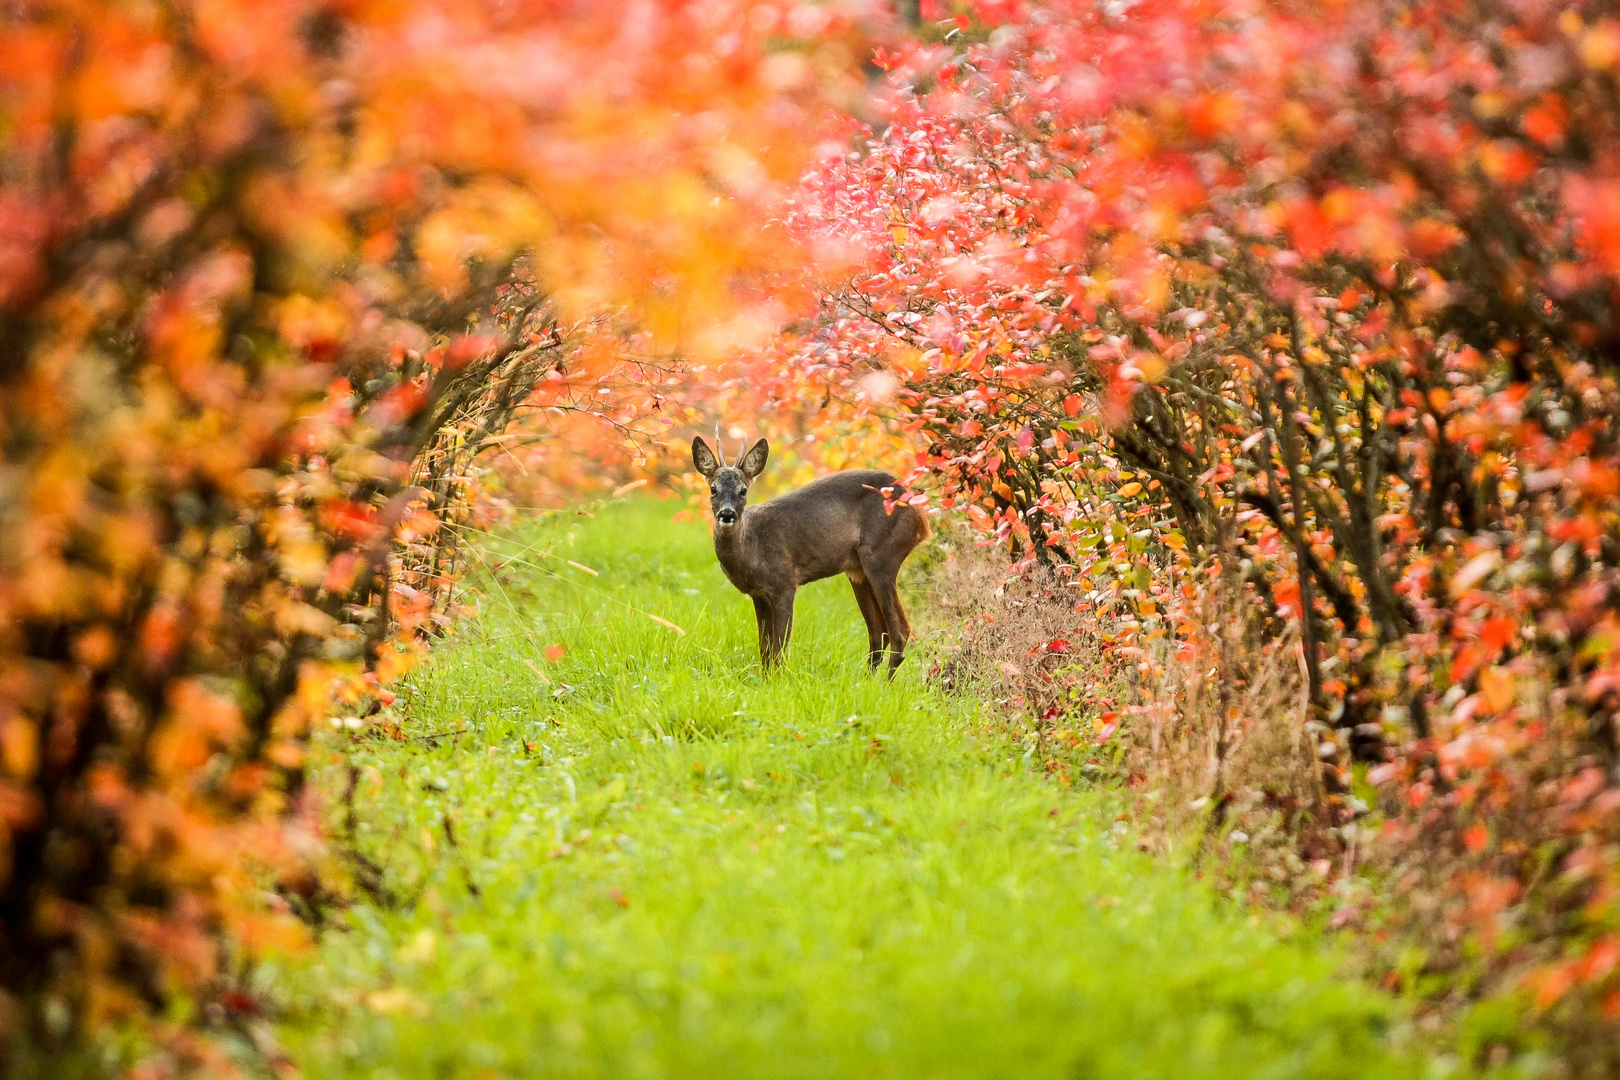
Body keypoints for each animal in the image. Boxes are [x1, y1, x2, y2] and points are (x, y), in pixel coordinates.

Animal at [690, 433, 933, 670]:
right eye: (713, 489)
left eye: (743, 490)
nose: (727, 514)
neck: (751, 546)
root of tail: (921, 517)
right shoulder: (758, 594)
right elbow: (765, 650)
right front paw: (766, 679)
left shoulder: (784, 583)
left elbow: (779, 649)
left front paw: (778, 679)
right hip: (858, 571)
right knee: (879, 631)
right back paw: (865, 679)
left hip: (882, 555)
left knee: (900, 630)